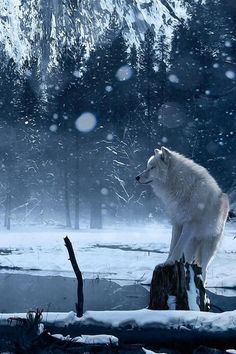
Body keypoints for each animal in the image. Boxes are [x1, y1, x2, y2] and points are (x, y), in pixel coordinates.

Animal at [136, 147, 230, 280]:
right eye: (147, 166)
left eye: (152, 167)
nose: (137, 177)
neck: (180, 185)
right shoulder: (177, 223)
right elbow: (172, 246)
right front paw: (166, 262)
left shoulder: (189, 224)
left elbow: (178, 247)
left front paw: (170, 262)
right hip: (191, 246)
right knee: (191, 261)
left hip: (207, 248)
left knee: (204, 269)